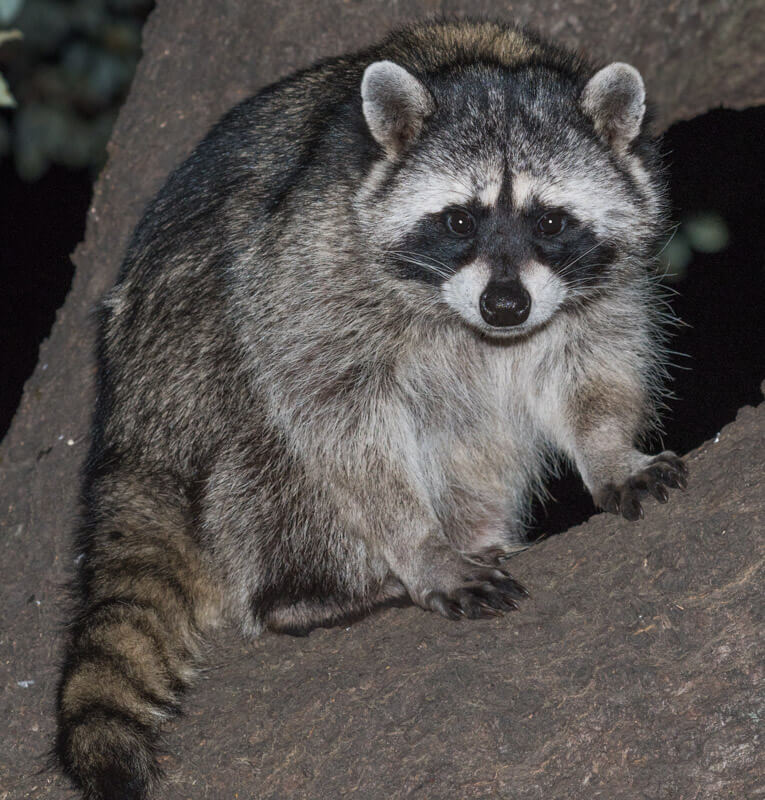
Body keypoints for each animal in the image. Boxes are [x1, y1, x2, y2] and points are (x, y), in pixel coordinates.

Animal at [53, 18, 688, 800]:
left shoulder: (608, 277)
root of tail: (132, 444)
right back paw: (307, 593)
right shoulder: (311, 261)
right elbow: (335, 413)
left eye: (548, 220)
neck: (490, 68)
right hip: (196, 418)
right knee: (274, 443)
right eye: (458, 220)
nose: (504, 305)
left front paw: (607, 448)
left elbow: (594, 362)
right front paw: (420, 547)